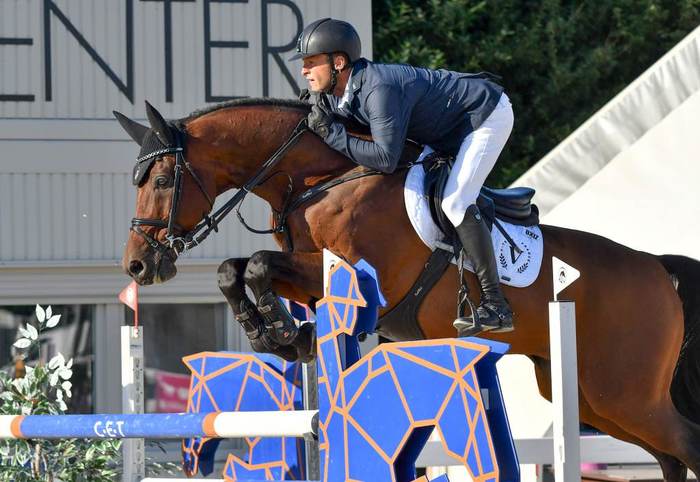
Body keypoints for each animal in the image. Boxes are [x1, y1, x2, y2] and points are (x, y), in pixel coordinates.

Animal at [115, 98, 700, 481]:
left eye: (162, 181)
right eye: (136, 182)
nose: (138, 266)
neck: (320, 181)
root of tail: (655, 267)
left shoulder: (351, 274)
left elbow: (256, 264)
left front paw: (280, 330)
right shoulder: (312, 279)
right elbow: (234, 270)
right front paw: (279, 335)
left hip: (624, 395)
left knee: (685, 443)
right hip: (588, 398)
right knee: (669, 455)